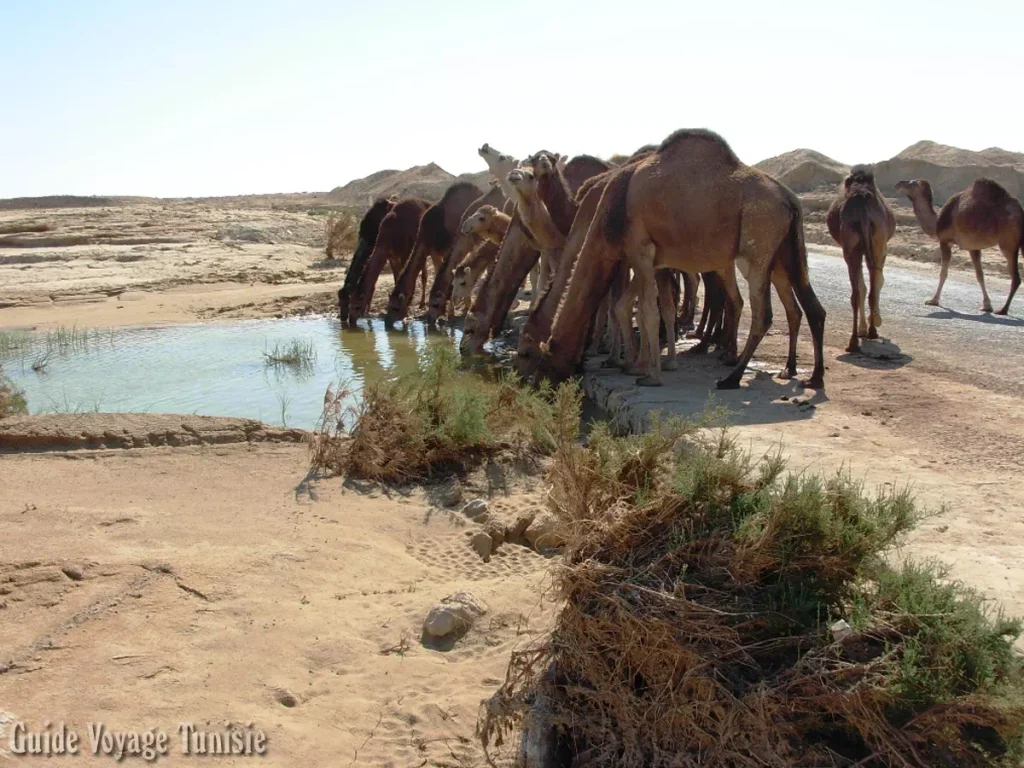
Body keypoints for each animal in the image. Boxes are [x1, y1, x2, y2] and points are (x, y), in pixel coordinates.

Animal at [385, 181, 483, 325]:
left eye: (395, 308)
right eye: (388, 306)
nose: (387, 322)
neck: (427, 231)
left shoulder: (445, 248)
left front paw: (451, 311)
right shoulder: (433, 251)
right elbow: (440, 273)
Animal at [536, 129, 823, 391]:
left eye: (534, 358)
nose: (539, 385)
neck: (611, 213)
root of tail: (790, 199)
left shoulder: (639, 249)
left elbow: (647, 311)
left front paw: (650, 375)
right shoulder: (652, 261)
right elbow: (633, 306)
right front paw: (638, 364)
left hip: (758, 242)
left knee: (762, 313)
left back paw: (731, 377)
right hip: (785, 253)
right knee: (806, 307)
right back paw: (807, 375)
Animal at [823, 166, 897, 354]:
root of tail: (861, 201)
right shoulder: (882, 249)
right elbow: (878, 282)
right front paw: (875, 321)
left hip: (852, 247)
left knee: (857, 292)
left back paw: (854, 341)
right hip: (873, 244)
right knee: (870, 288)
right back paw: (870, 332)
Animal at [892, 178, 1019, 315]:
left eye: (912, 183)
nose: (898, 183)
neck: (937, 222)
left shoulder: (944, 241)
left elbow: (943, 273)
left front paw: (933, 300)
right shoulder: (973, 247)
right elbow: (980, 275)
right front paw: (987, 306)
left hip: (1007, 243)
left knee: (1015, 277)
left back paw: (1003, 309)